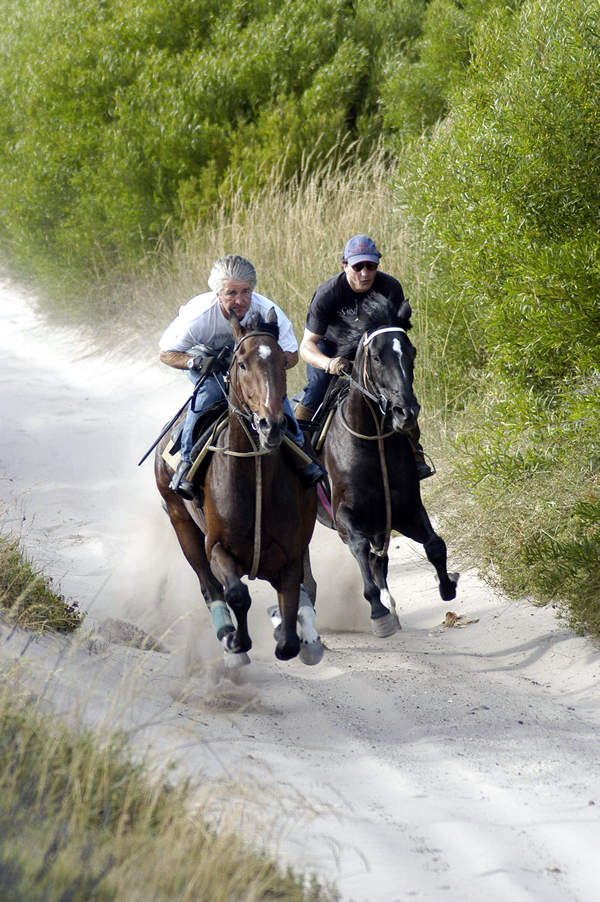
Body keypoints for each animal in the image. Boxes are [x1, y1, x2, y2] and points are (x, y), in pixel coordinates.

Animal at [156, 308, 324, 668]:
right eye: (242, 364)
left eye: (281, 362)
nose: (270, 424)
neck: (254, 476)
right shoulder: (218, 546)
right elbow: (236, 593)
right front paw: (237, 641)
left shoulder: (290, 553)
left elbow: (292, 609)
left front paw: (292, 632)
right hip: (181, 521)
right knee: (209, 585)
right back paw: (227, 638)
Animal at [316, 294, 458, 636]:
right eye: (378, 358)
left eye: (411, 353)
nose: (406, 412)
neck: (371, 442)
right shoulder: (345, 516)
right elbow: (359, 549)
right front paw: (377, 610)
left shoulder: (404, 509)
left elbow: (435, 545)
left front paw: (447, 586)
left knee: (380, 560)